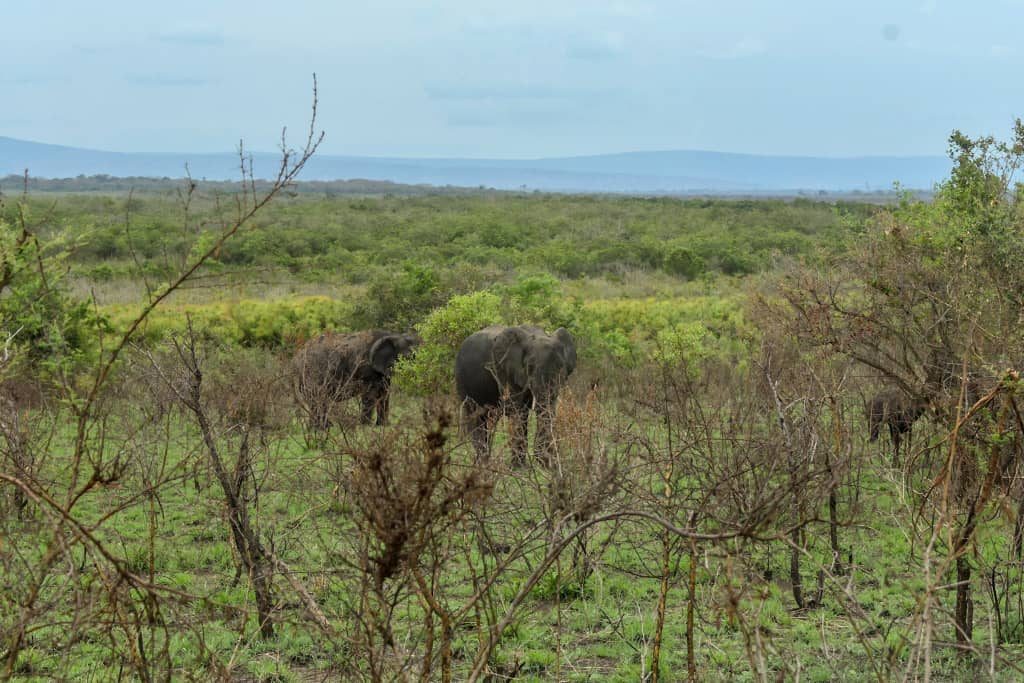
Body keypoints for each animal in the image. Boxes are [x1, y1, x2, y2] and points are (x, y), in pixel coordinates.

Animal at [455, 325, 577, 466]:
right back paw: (483, 463)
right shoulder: (505, 371)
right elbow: (519, 411)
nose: (543, 461)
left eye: (561, 367)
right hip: (462, 379)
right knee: (476, 417)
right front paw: (520, 467)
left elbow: (548, 410)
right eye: (530, 366)